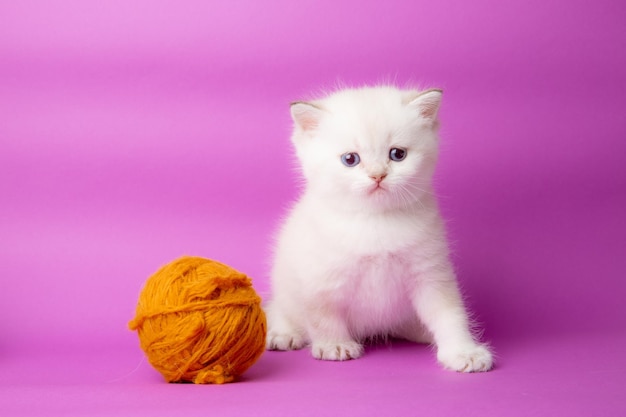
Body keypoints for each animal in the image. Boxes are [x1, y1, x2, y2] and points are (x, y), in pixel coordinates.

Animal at [264, 84, 492, 370]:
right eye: (350, 159)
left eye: (398, 154)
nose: (377, 175)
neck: (375, 220)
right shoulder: (322, 279)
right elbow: (323, 315)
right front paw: (334, 345)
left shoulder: (431, 272)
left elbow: (450, 313)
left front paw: (463, 351)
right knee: (279, 308)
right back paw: (283, 333)